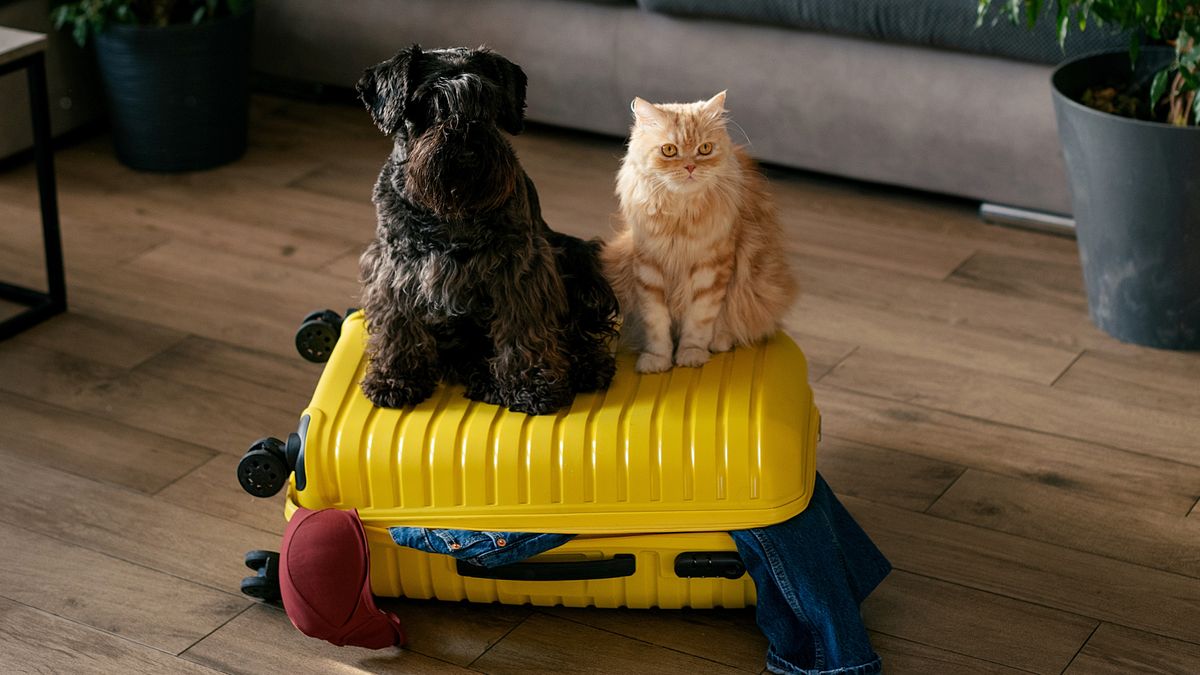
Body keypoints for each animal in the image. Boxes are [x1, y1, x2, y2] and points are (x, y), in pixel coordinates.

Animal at [352, 44, 619, 413]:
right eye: (429, 102)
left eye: (487, 101)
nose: (466, 142)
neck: (451, 212)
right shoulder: (394, 268)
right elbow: (398, 322)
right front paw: (396, 378)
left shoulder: (519, 270)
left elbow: (522, 326)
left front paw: (530, 384)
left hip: (579, 260)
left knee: (579, 331)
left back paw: (586, 366)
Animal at [600, 90, 796, 372]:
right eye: (669, 150)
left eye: (704, 149)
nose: (690, 167)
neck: (681, 218)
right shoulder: (648, 267)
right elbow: (655, 322)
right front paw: (656, 360)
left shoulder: (712, 269)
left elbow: (699, 320)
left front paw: (691, 355)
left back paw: (720, 341)